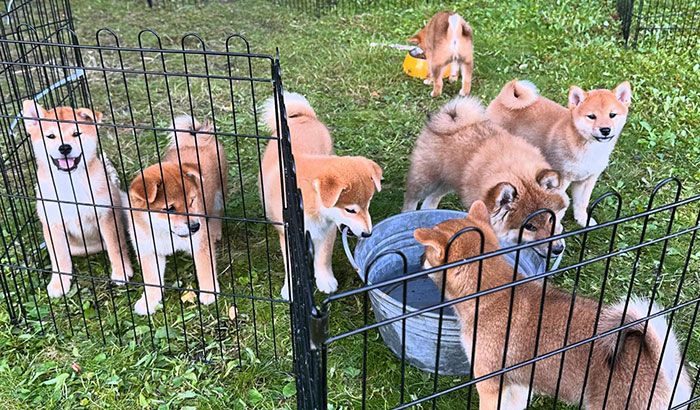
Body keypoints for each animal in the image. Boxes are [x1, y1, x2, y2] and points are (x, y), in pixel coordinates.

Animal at [22, 99, 134, 298]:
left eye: (76, 133)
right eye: (51, 136)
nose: (64, 147)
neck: (70, 184)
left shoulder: (106, 216)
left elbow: (116, 247)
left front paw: (121, 271)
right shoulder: (53, 224)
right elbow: (59, 258)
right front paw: (59, 283)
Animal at [126, 113, 224, 316]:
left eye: (192, 201)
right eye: (169, 208)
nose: (195, 226)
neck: (166, 234)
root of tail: (196, 137)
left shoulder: (200, 244)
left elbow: (205, 269)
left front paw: (209, 293)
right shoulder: (148, 251)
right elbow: (152, 280)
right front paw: (149, 301)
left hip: (219, 194)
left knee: (217, 214)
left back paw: (215, 231)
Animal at [258, 91, 380, 300]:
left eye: (368, 205)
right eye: (350, 210)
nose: (368, 233)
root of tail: (304, 117)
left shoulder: (328, 229)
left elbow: (323, 257)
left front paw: (325, 280)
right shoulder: (288, 234)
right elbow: (291, 265)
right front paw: (290, 289)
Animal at [412, 201, 692, 410]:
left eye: (427, 251)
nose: (418, 259)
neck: (491, 291)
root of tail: (662, 367)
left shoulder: (490, 385)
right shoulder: (519, 386)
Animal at [486, 80, 636, 227]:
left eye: (612, 115)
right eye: (591, 116)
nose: (605, 130)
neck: (590, 151)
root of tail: (503, 98)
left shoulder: (587, 180)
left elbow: (582, 203)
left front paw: (582, 220)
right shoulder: (561, 178)